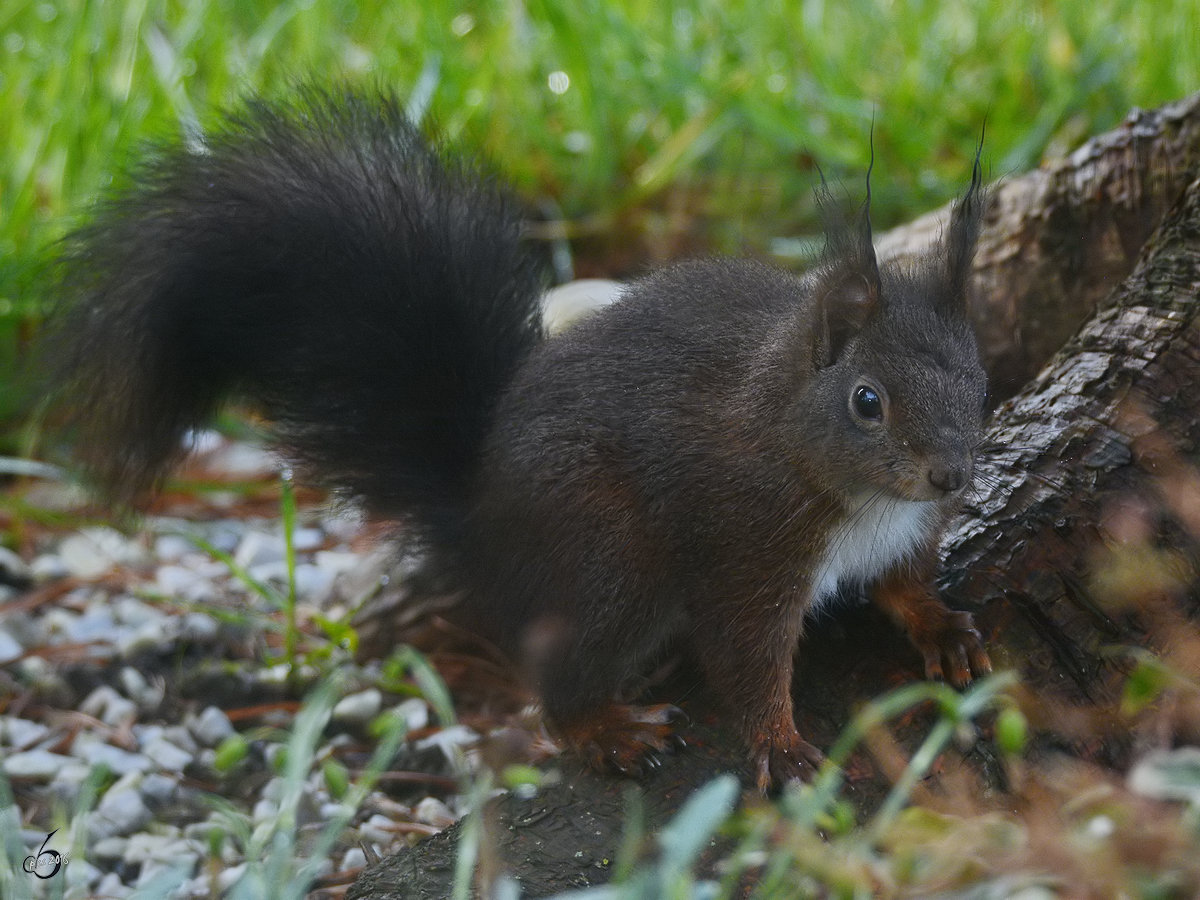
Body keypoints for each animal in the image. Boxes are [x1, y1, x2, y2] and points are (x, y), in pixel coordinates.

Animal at [49, 84, 993, 787]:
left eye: (981, 379)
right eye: (867, 401)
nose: (950, 476)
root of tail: (479, 515)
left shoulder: (905, 530)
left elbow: (901, 582)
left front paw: (942, 627)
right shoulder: (746, 548)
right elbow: (747, 657)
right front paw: (780, 745)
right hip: (610, 560)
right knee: (559, 681)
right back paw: (608, 730)